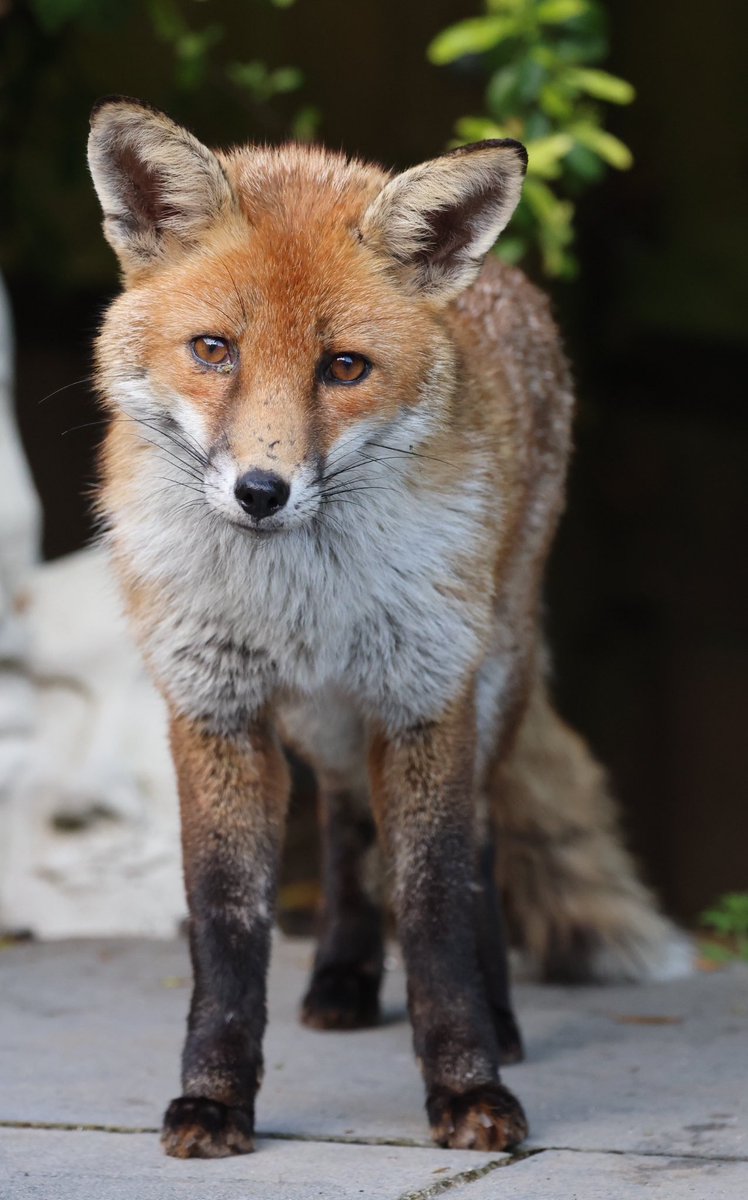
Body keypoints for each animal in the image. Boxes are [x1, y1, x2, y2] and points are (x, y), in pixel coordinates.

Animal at [86, 98, 691, 1156]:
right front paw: (213, 1098)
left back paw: (499, 1018)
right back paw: (340, 980)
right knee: (341, 821)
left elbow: (437, 900)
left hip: (490, 677)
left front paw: (469, 1085)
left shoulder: (423, 698)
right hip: (323, 717)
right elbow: (226, 922)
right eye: (214, 350)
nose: (260, 492)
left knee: (478, 839)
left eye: (343, 367)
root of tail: (506, 277)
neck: (303, 600)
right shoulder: (214, 706)